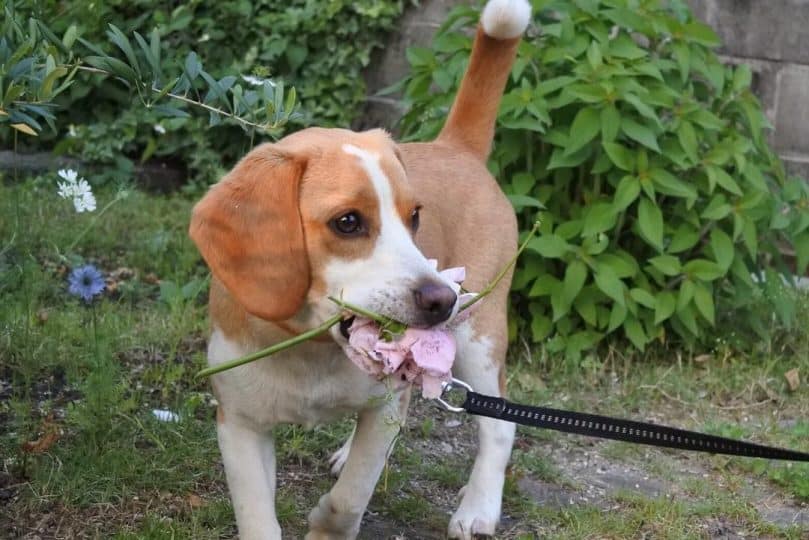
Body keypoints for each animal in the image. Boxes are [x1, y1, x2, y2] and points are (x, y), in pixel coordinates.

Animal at [189, 2, 532, 536]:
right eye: (348, 222)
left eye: (415, 218)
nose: (441, 299)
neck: (311, 352)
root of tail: (455, 147)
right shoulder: (240, 424)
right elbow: (258, 516)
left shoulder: (387, 403)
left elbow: (349, 498)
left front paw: (325, 523)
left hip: (479, 339)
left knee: (499, 427)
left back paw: (479, 507)